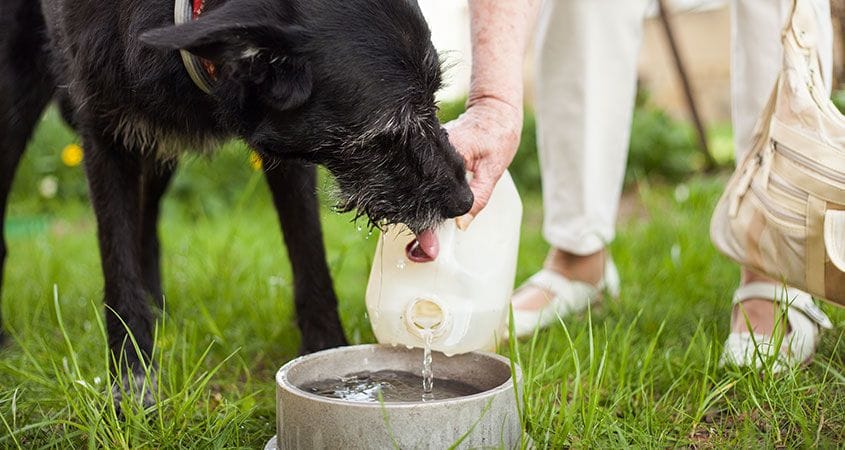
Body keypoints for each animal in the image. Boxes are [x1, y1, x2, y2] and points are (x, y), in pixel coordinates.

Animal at [0, 0, 472, 406]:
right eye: (391, 125)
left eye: (433, 96)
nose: (464, 200)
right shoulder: (103, 136)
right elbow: (118, 268)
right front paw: (132, 379)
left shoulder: (288, 141)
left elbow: (310, 258)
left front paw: (326, 351)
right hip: (16, 97)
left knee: (147, 220)